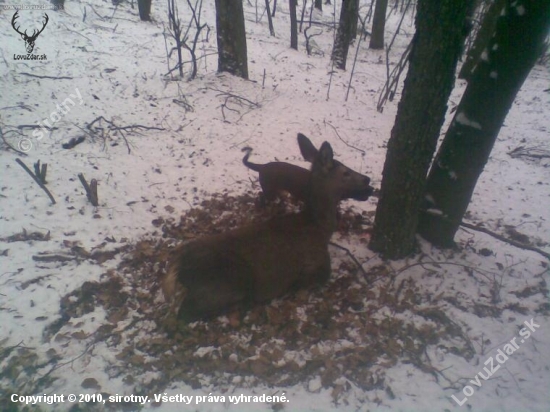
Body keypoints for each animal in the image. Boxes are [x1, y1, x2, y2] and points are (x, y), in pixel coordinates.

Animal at [163, 141, 370, 322]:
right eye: (346, 172)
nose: (368, 180)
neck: (320, 228)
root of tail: (177, 268)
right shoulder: (316, 263)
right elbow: (320, 276)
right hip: (232, 278)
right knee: (184, 314)